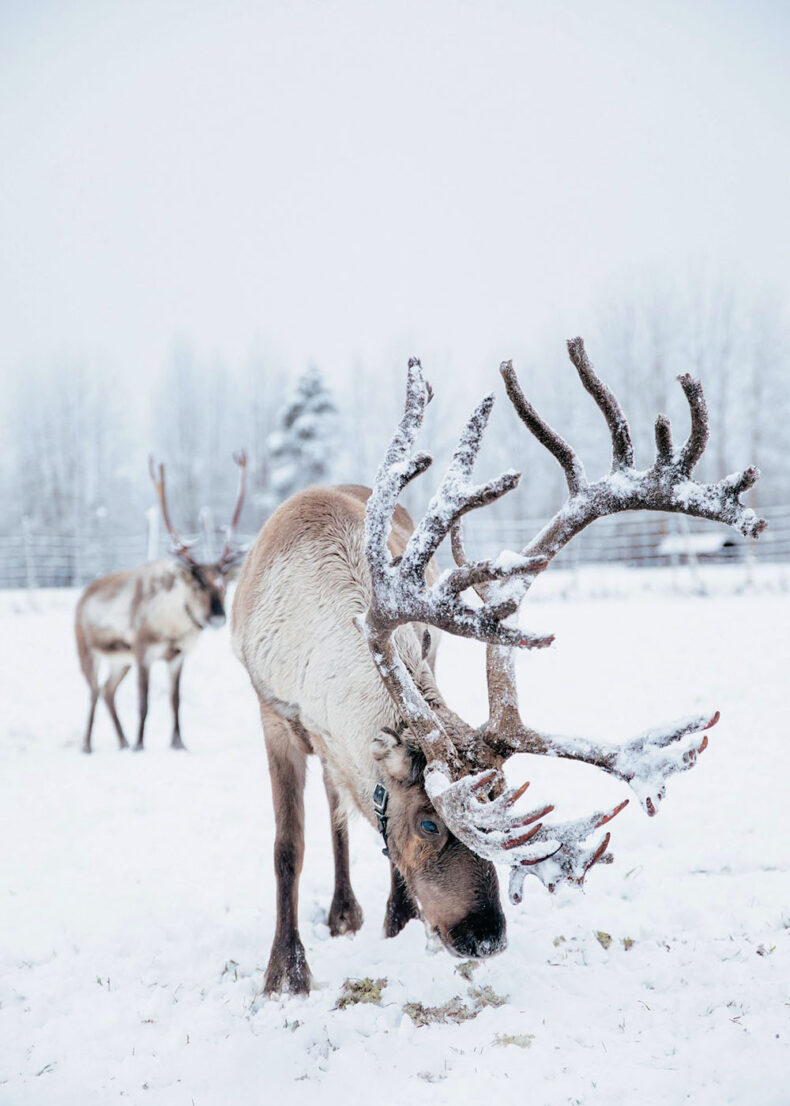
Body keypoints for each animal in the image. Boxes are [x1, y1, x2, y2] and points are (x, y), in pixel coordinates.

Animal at [75, 452, 248, 754]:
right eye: (197, 584)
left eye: (224, 585)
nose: (217, 617)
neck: (171, 626)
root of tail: (83, 595)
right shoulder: (141, 651)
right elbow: (143, 702)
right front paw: (139, 744)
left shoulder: (178, 656)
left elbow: (175, 701)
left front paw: (178, 743)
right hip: (87, 650)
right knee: (94, 691)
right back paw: (88, 745)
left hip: (120, 661)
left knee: (108, 690)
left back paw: (121, 741)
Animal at [231, 338, 766, 995]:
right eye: (429, 823)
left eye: (505, 797)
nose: (486, 937)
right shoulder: (274, 713)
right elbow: (288, 846)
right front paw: (285, 972)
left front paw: (395, 926)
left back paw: (358, 913)